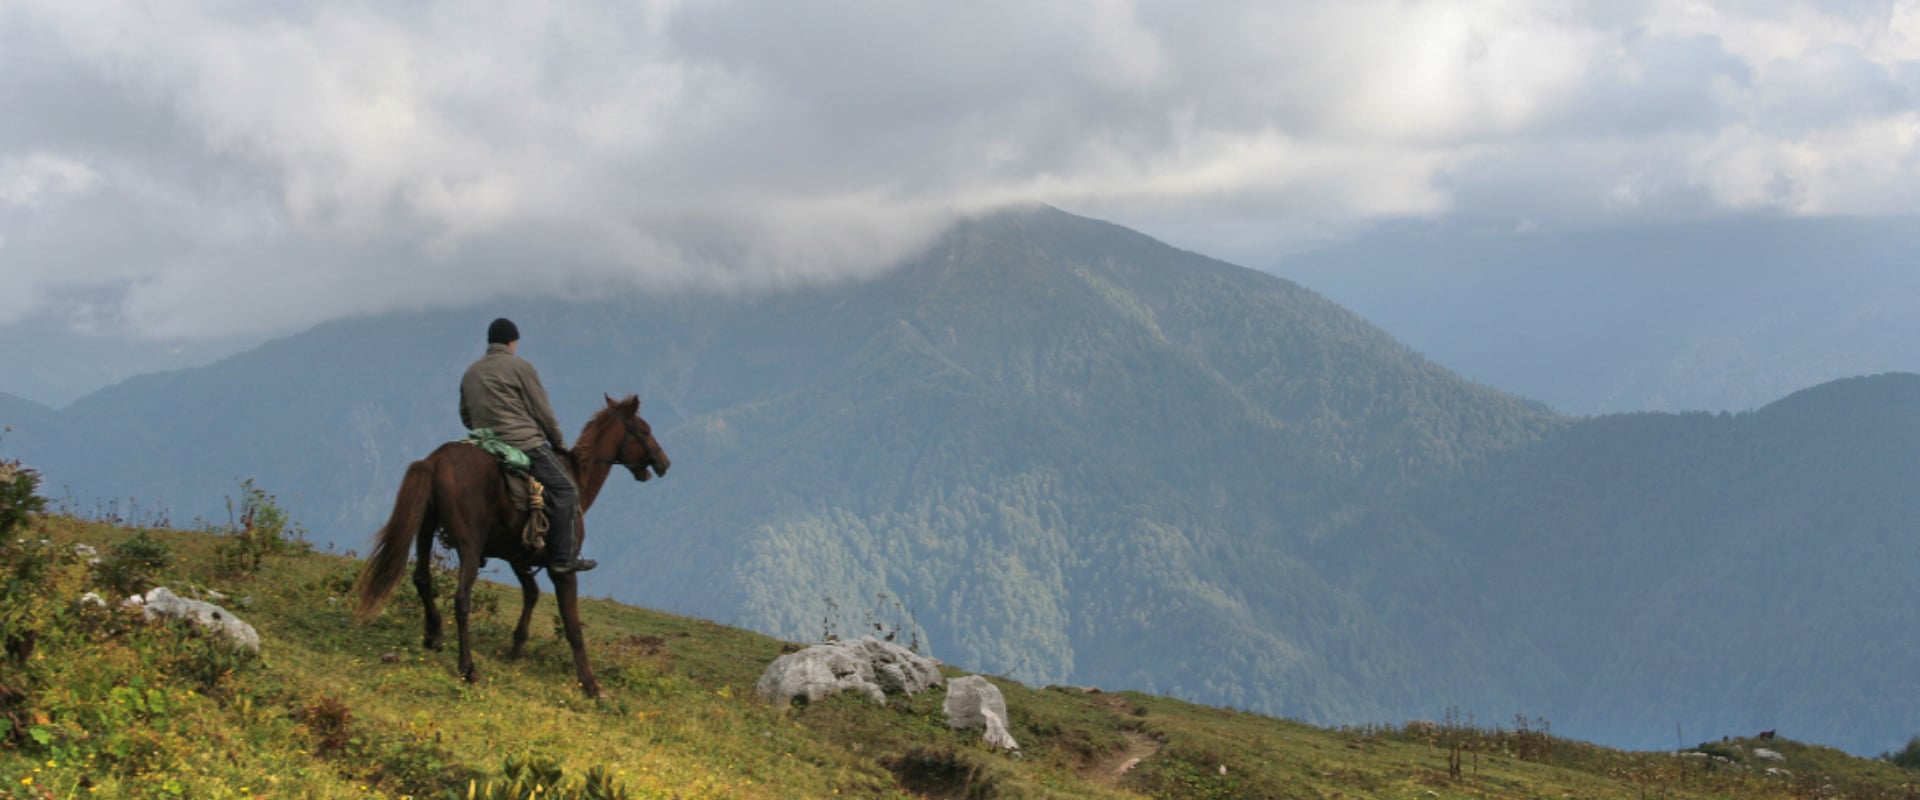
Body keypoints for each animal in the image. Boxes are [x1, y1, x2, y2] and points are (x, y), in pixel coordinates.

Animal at [349, 395, 672, 694]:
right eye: (644, 430)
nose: (664, 462)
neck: (577, 480)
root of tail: (435, 460)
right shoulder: (562, 568)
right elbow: (572, 626)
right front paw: (591, 684)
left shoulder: (520, 558)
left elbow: (531, 594)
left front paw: (517, 646)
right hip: (469, 547)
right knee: (461, 599)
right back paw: (468, 668)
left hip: (425, 531)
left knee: (422, 579)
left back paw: (434, 635)